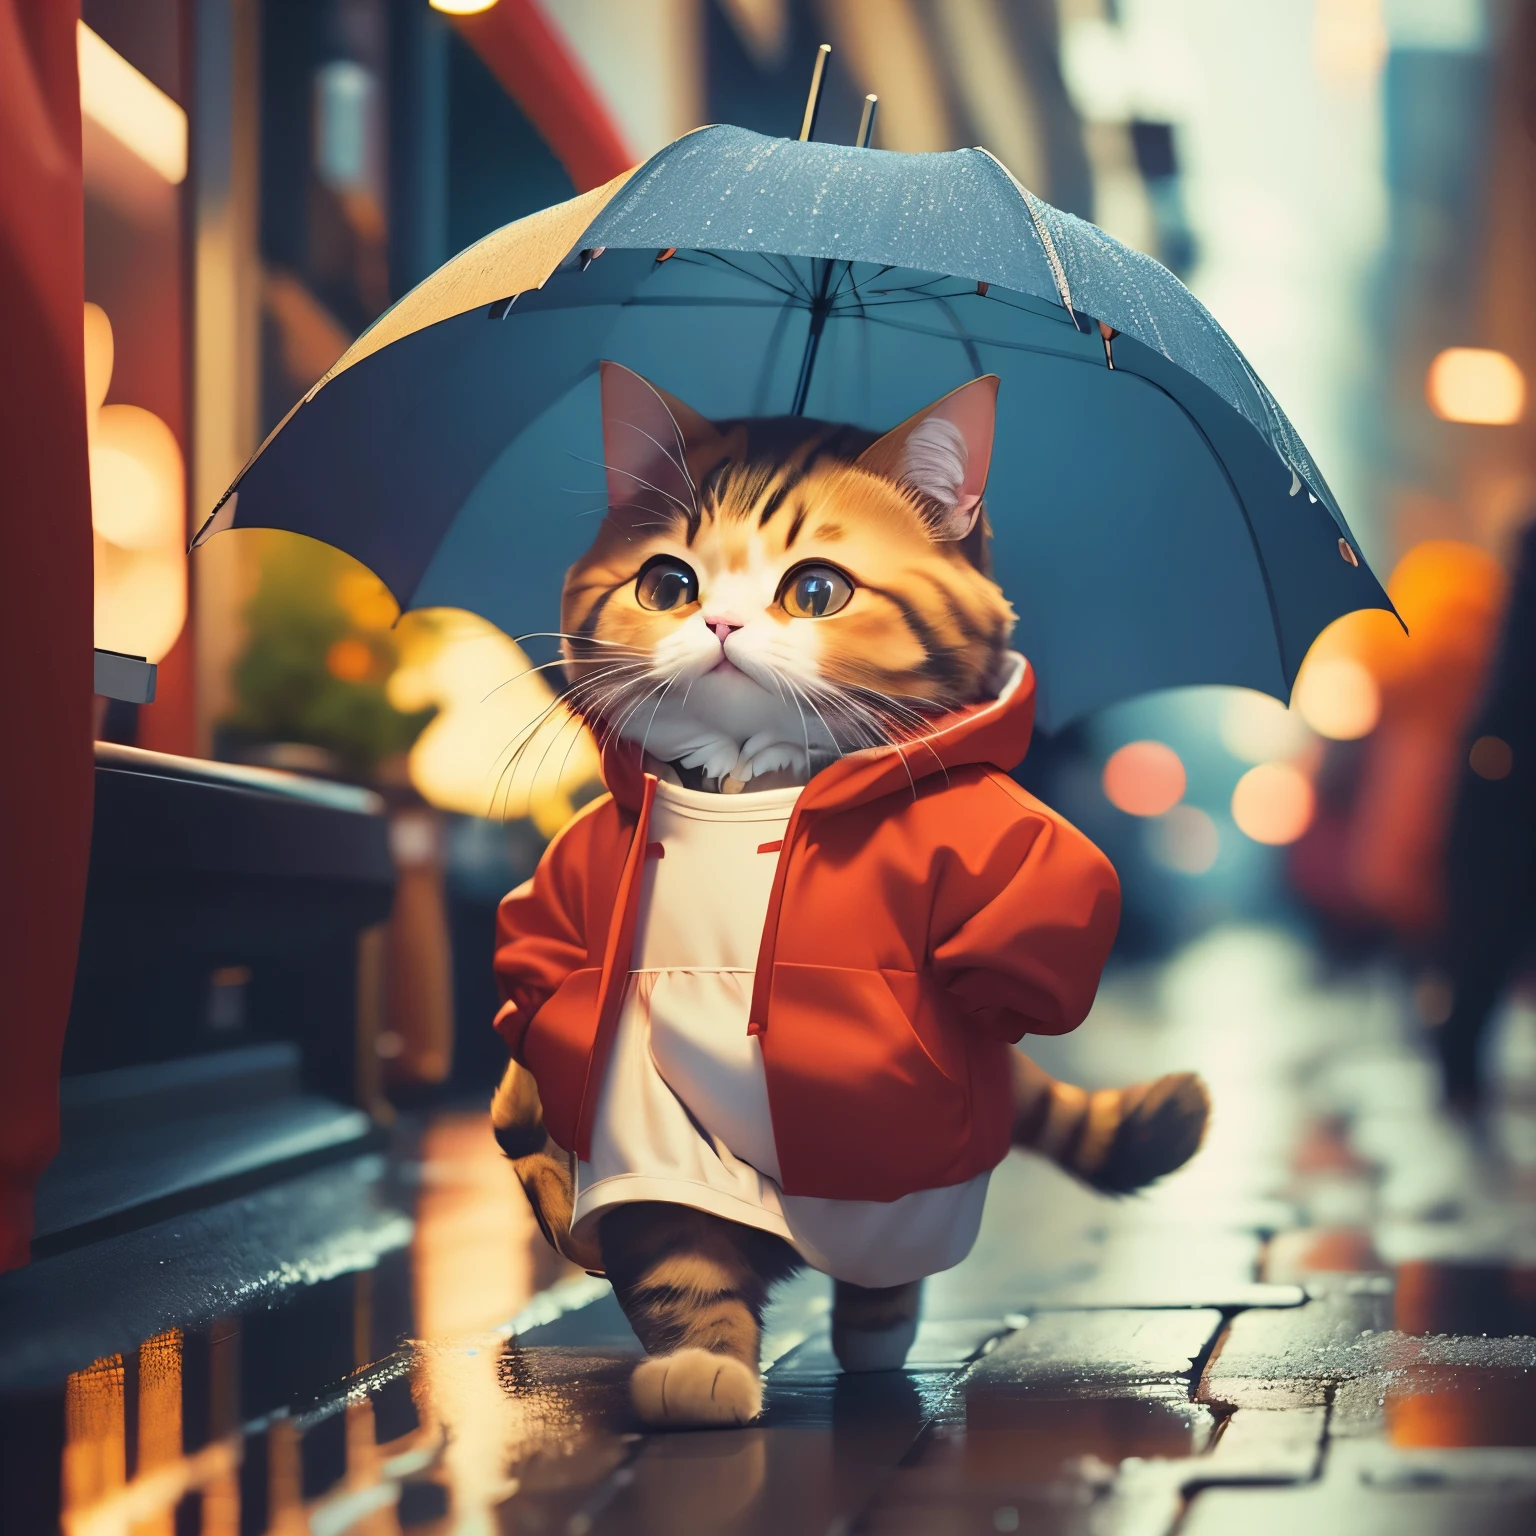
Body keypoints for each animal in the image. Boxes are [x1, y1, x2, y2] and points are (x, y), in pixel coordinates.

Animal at [491, 362, 1210, 1425]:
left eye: (816, 590)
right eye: (667, 585)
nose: (718, 623)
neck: (749, 789)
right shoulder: (631, 1066)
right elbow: (676, 1247)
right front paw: (701, 1366)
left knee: (888, 1266)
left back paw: (877, 1336)